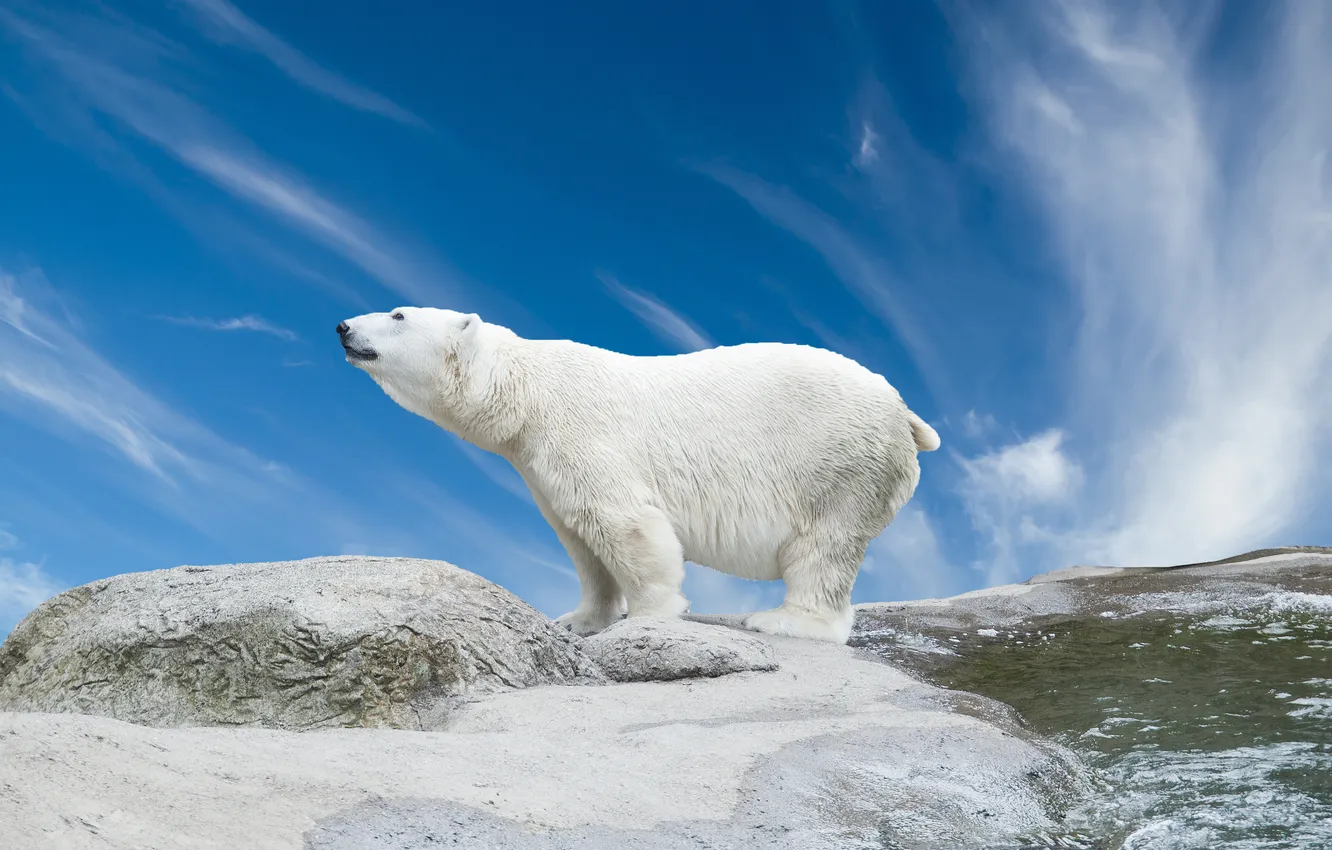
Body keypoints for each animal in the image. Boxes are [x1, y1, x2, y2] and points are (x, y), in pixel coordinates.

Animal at [337, 307, 939, 644]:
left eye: (398, 315)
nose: (342, 326)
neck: (524, 390)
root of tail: (905, 413)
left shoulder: (582, 434)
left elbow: (623, 523)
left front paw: (652, 616)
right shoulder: (538, 462)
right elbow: (578, 538)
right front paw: (579, 619)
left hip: (838, 465)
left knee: (822, 548)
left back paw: (785, 622)